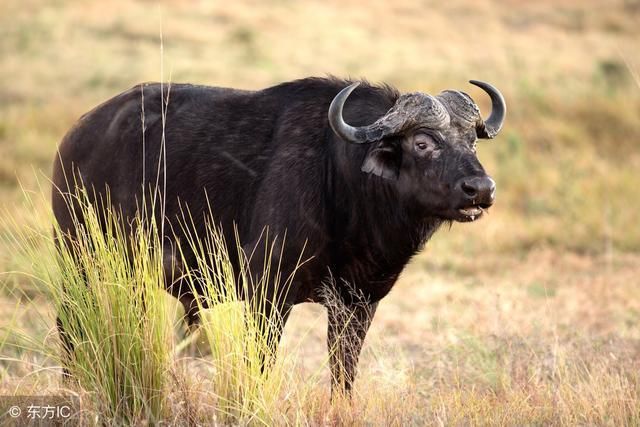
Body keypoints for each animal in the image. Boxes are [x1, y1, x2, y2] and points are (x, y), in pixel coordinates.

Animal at [52, 76, 508, 394]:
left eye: (472, 140)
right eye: (422, 142)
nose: (481, 189)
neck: (341, 180)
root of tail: (75, 138)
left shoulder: (359, 303)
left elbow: (343, 373)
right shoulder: (266, 296)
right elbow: (261, 365)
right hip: (78, 264)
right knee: (69, 325)